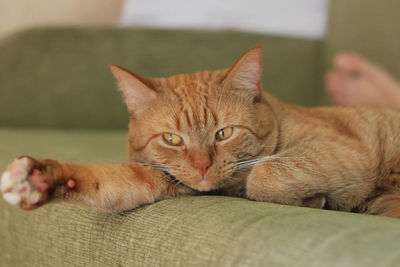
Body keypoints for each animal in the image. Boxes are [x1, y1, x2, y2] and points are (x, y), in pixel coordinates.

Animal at [0, 46, 400, 218]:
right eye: (172, 139)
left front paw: (311, 200)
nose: (203, 166)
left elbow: (266, 174)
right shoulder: (161, 179)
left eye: (224, 133)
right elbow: (104, 181)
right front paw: (41, 178)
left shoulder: (344, 148)